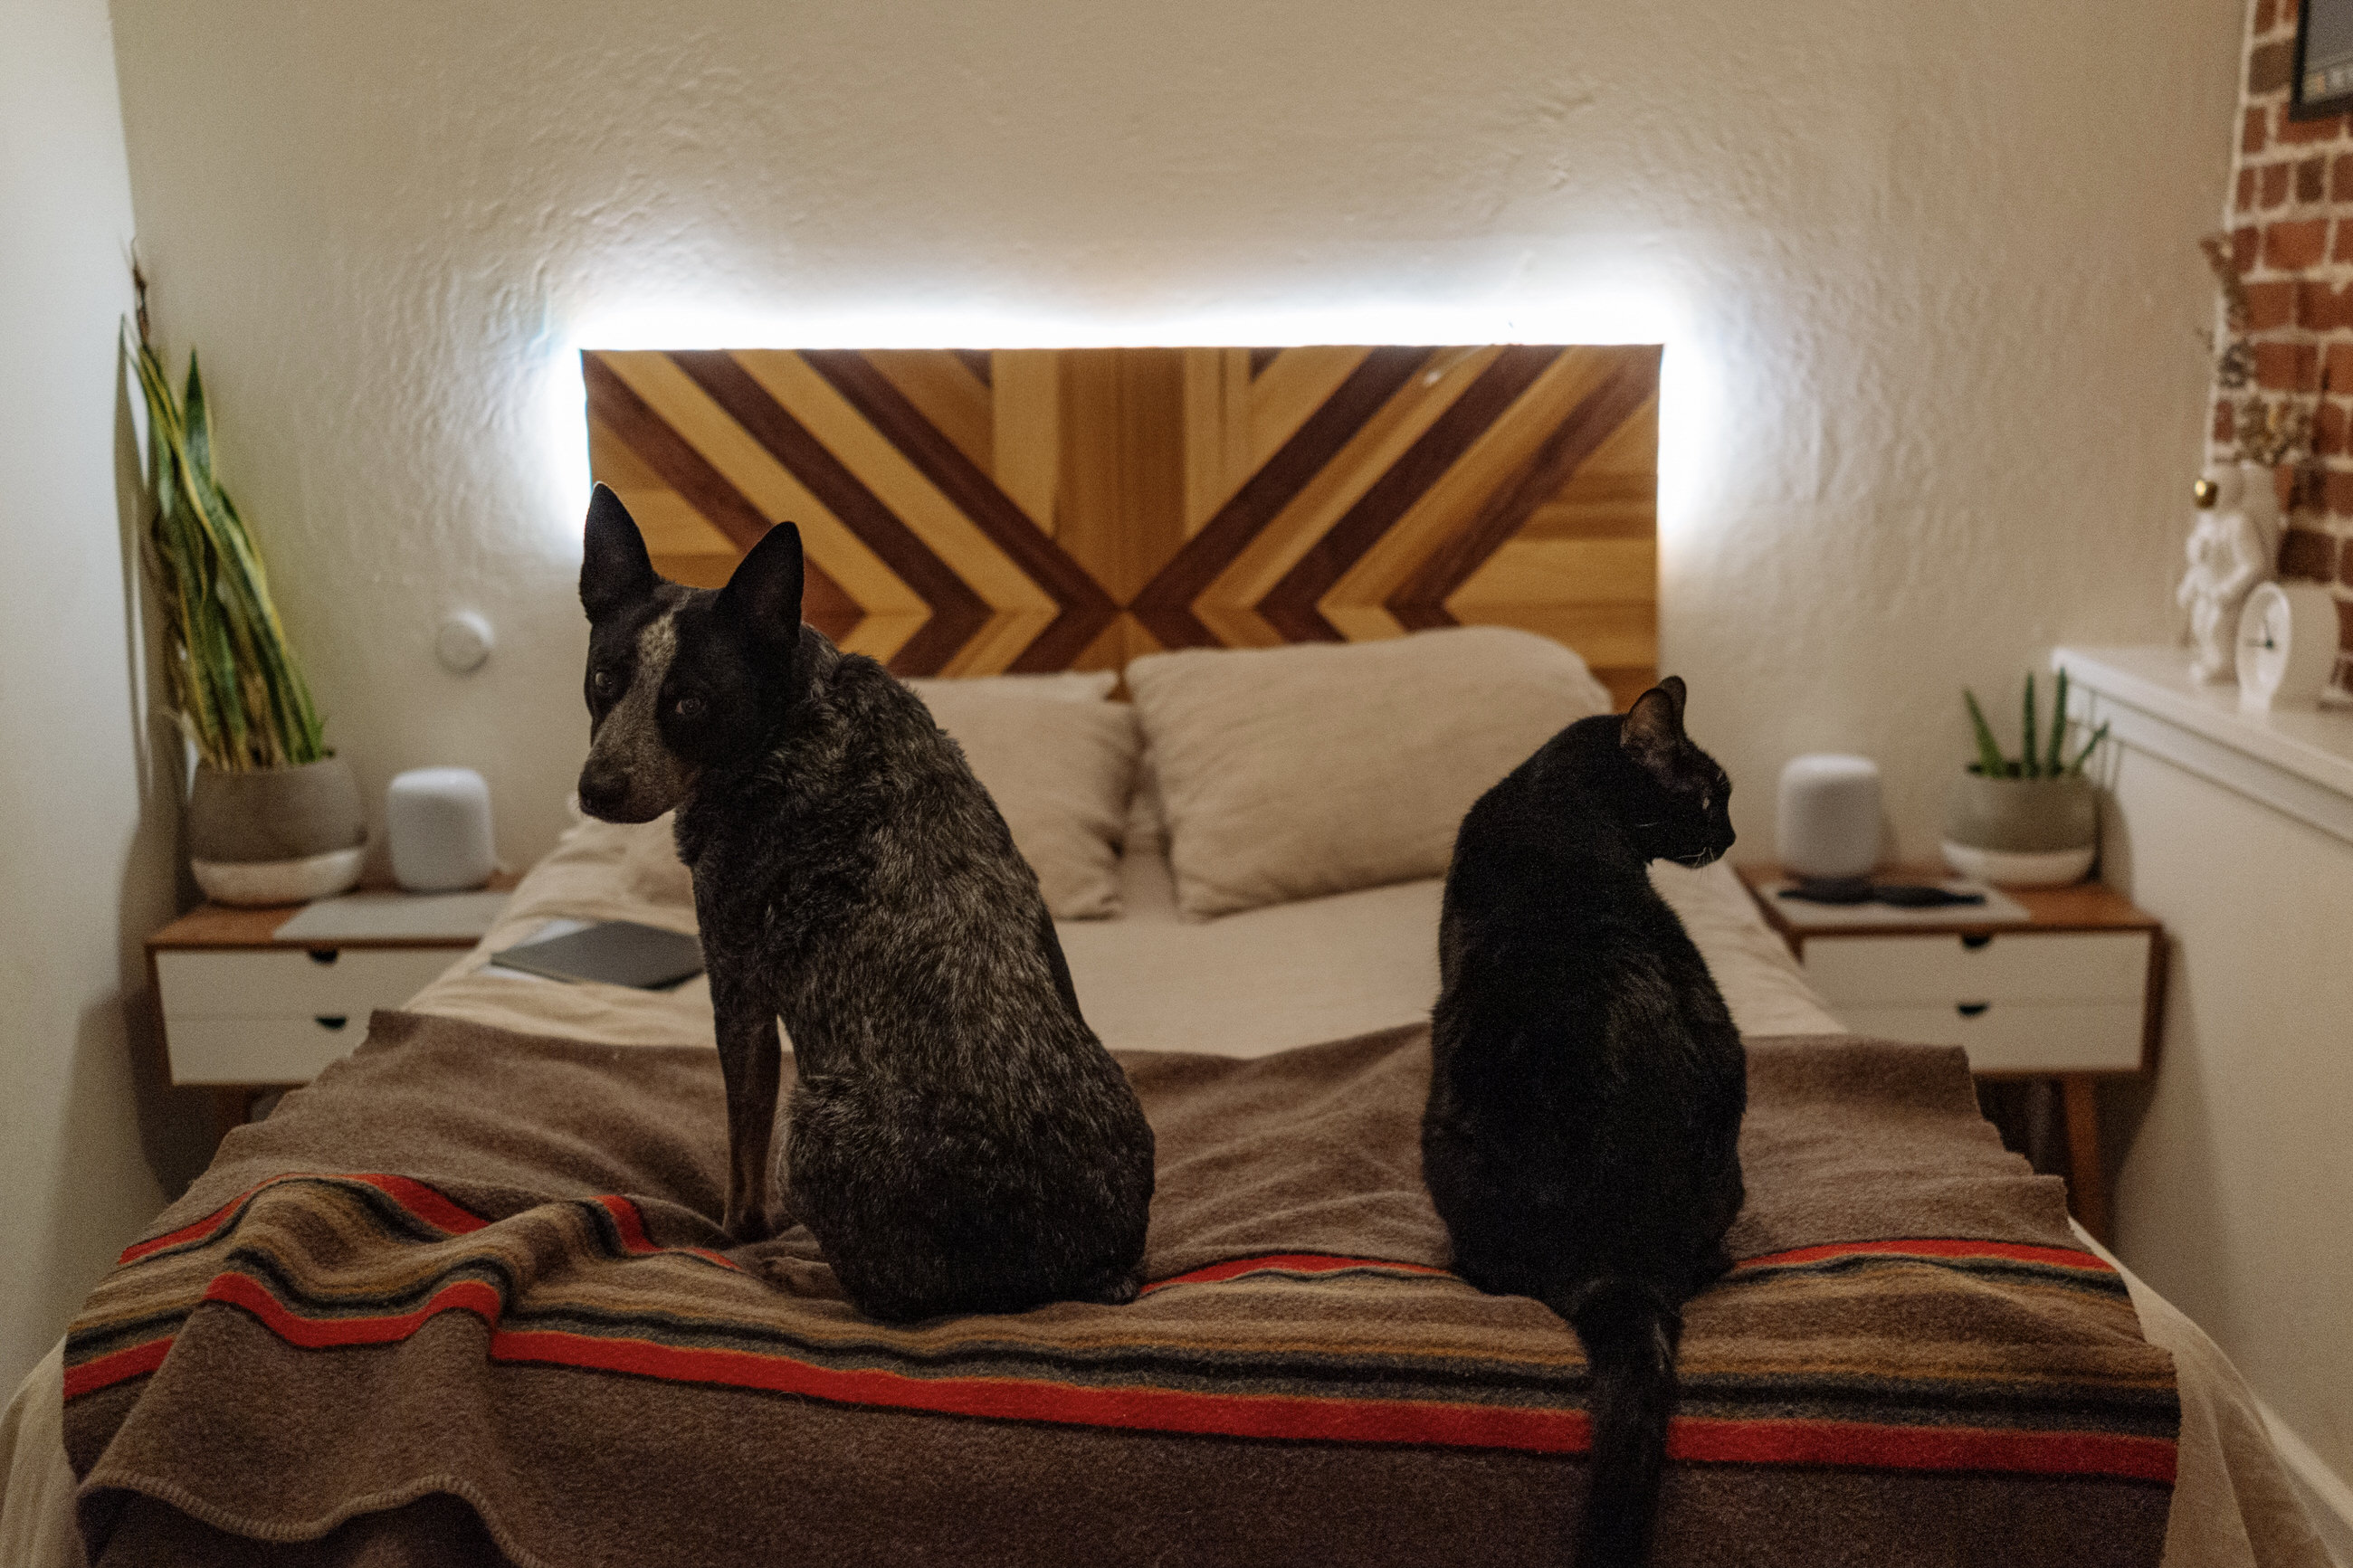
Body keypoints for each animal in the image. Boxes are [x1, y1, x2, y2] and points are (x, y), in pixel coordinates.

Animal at [574, 484, 1154, 1321]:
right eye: (602, 680)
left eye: (689, 704)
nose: (595, 788)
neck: (793, 713)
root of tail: (1097, 1261)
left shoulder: (738, 986)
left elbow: (742, 1154)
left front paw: (740, 1234)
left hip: (817, 1120)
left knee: (895, 1299)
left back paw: (807, 1269)